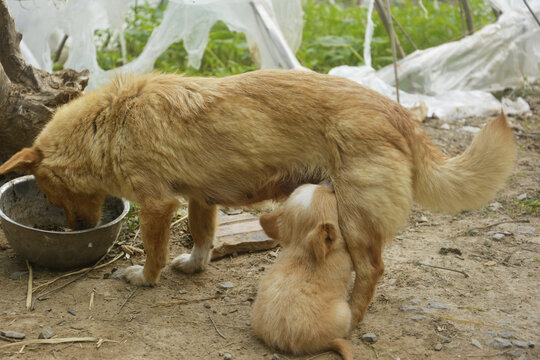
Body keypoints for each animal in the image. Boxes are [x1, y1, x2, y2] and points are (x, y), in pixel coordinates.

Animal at [0, 69, 516, 324]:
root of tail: (397, 112)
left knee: (372, 271)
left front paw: (144, 278)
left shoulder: (158, 205)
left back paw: (353, 313)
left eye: (53, 195)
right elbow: (202, 237)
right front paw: (194, 265)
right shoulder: (200, 197)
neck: (112, 121)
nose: (81, 230)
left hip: (356, 216)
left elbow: (153, 252)